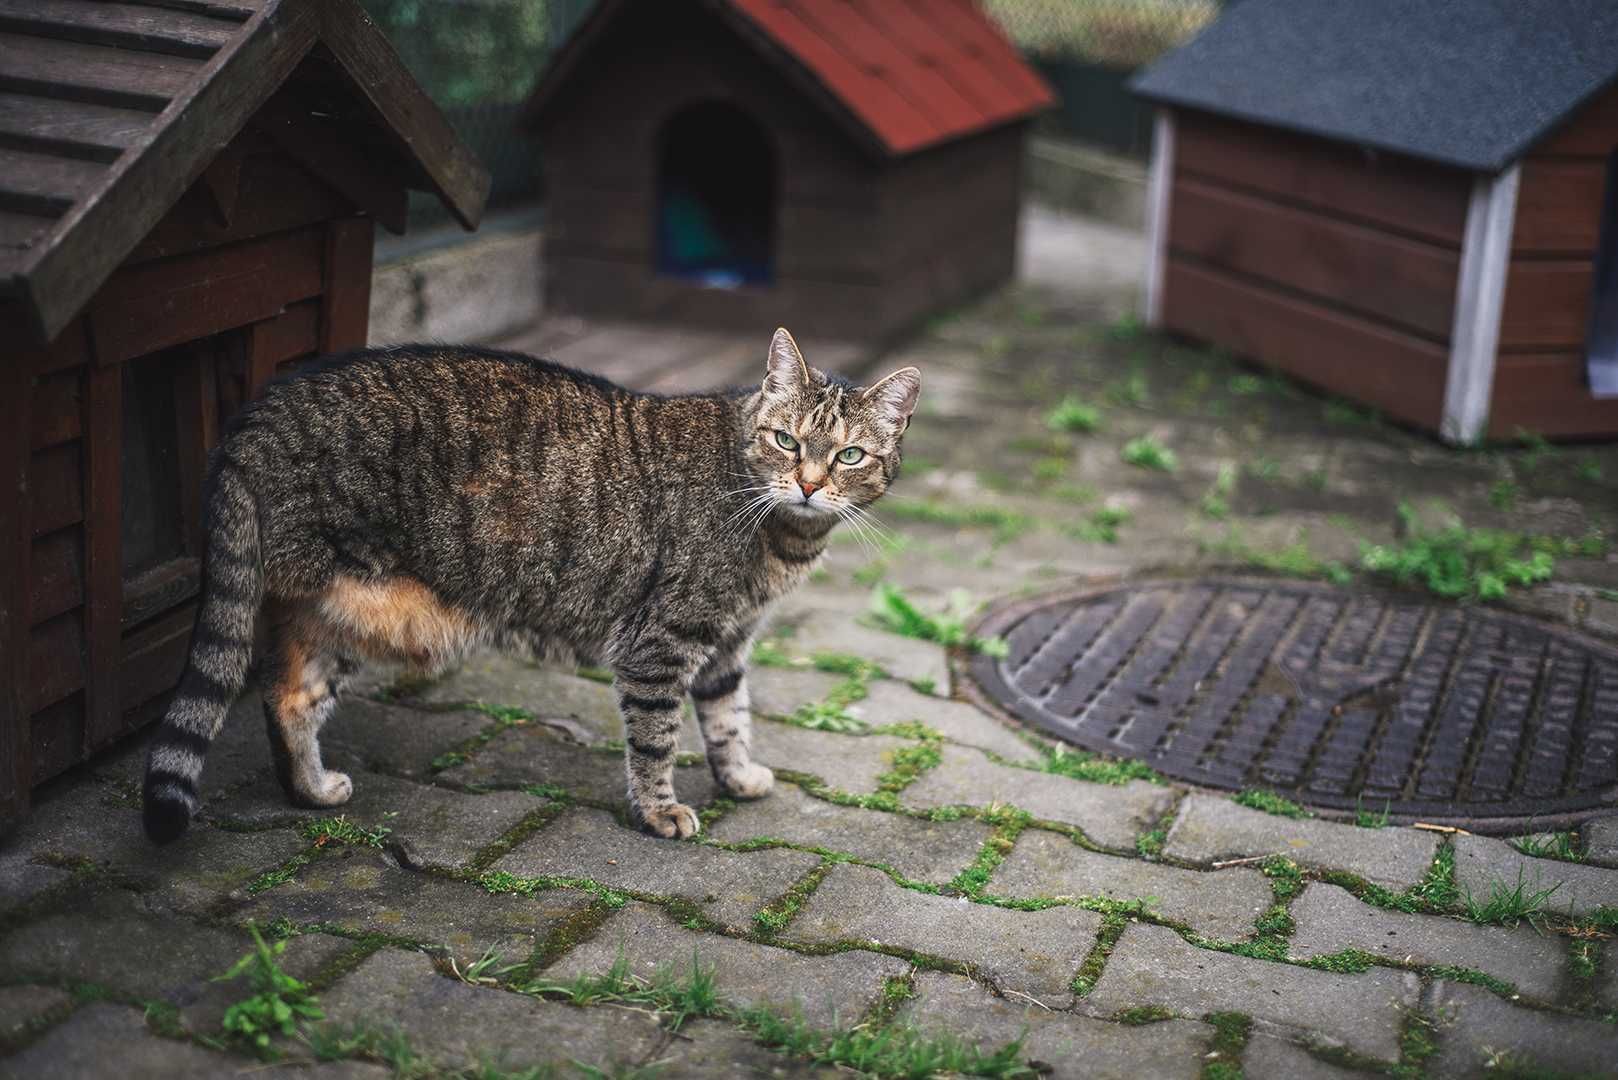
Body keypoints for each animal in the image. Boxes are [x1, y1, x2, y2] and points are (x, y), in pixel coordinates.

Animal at [144, 330, 919, 841]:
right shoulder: (661, 644)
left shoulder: (727, 645)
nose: (809, 484)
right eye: (787, 441)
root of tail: (259, 413)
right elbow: (658, 739)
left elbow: (731, 721)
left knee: (288, 694)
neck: (782, 536)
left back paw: (310, 790)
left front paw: (739, 778)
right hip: (376, 605)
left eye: (849, 455)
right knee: (279, 688)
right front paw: (659, 810)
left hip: (349, 611)